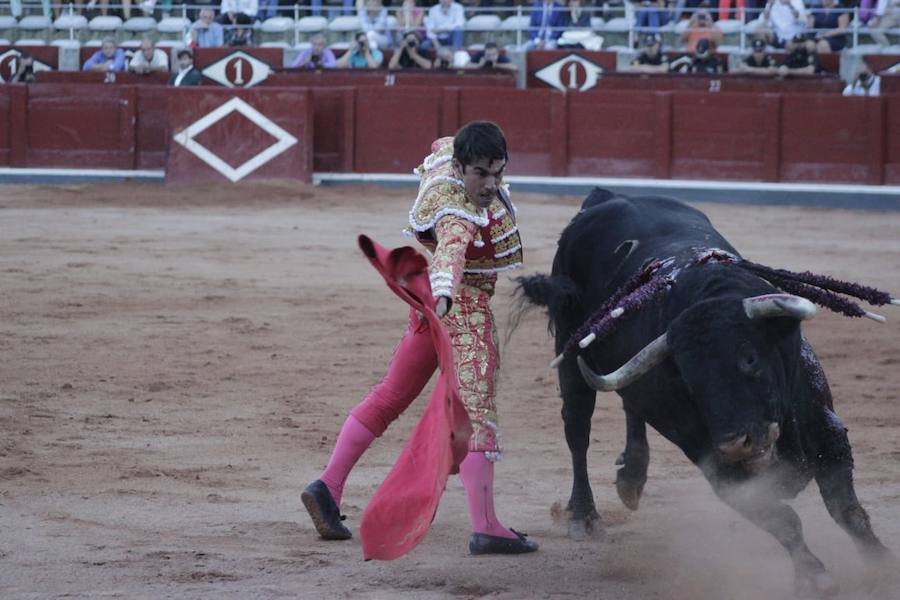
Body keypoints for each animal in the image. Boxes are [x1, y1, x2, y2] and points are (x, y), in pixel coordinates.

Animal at [516, 189, 896, 596]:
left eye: (749, 358)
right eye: (689, 379)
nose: (735, 444)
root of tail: (607, 197)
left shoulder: (828, 431)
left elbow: (846, 509)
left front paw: (881, 564)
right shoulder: (716, 468)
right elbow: (783, 519)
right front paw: (814, 575)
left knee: (630, 404)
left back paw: (632, 477)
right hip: (569, 348)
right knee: (578, 430)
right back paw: (584, 515)